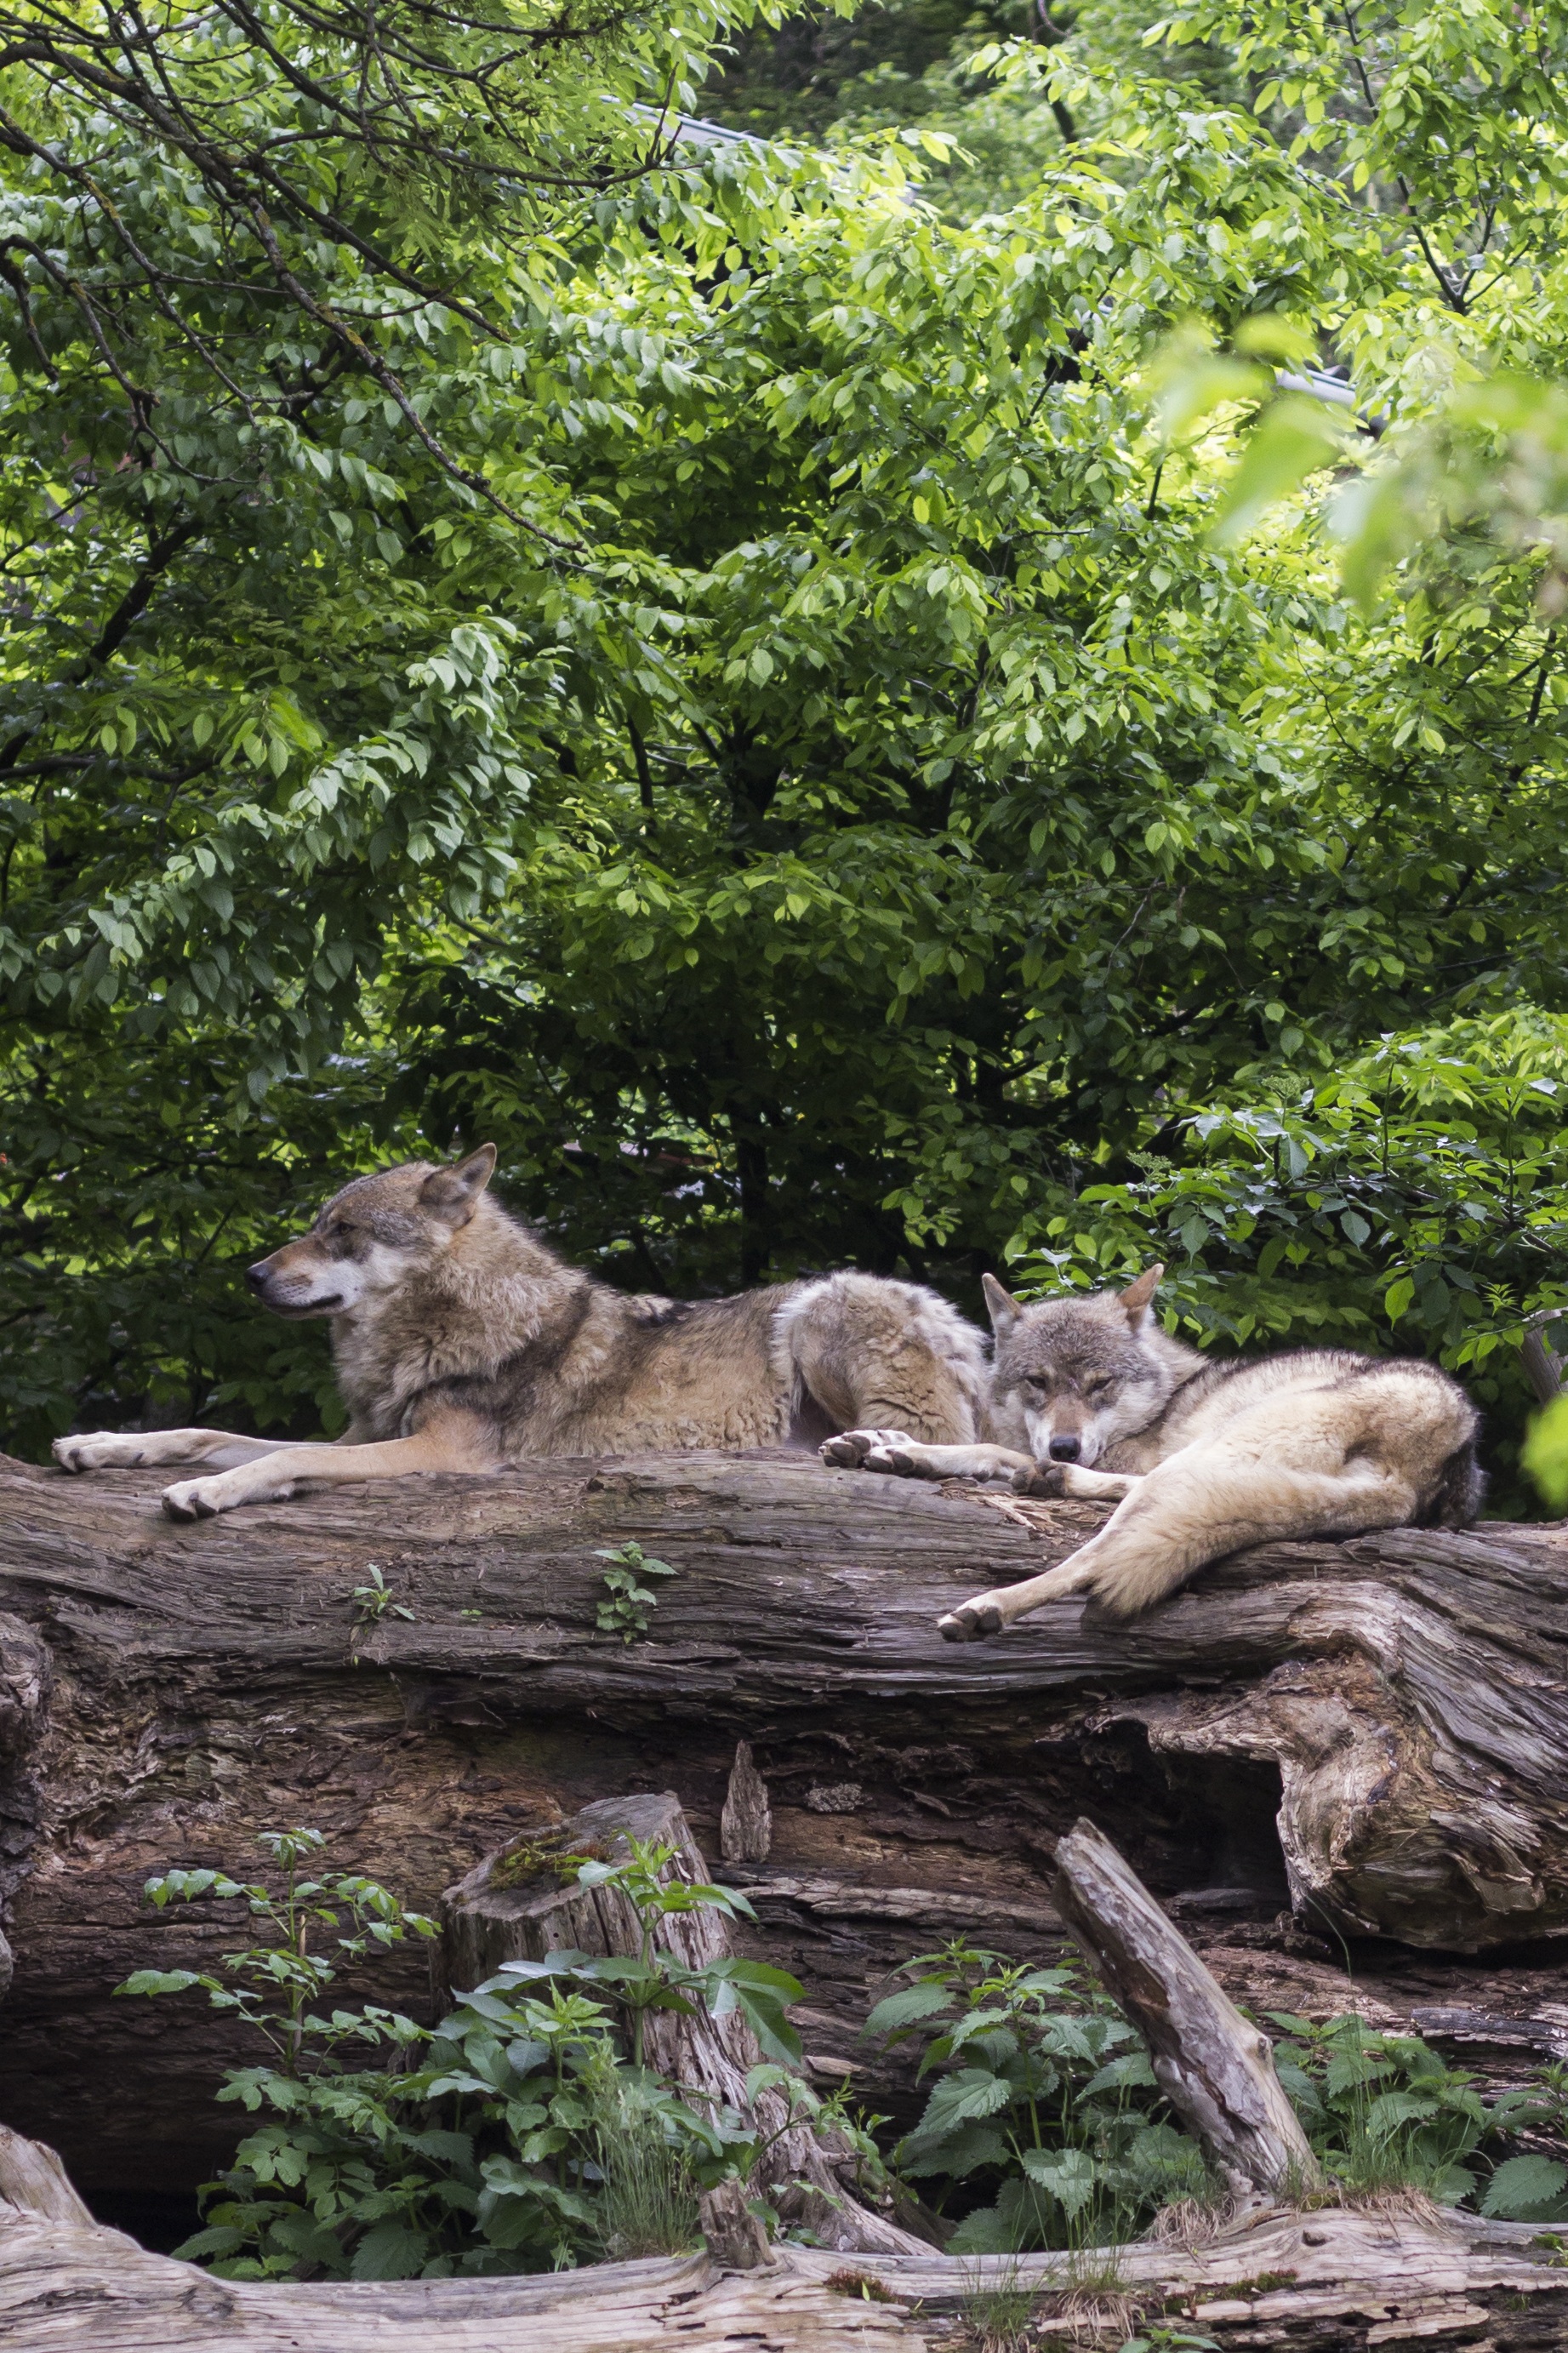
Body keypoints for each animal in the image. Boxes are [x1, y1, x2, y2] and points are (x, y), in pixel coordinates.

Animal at [54, 1143, 1001, 1524]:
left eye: (341, 1232)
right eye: (314, 1226)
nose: (251, 1275)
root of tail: (962, 1323)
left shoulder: (436, 1448)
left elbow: (274, 1459)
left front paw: (204, 1492)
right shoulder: (359, 1432)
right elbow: (205, 1430)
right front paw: (98, 1444)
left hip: (814, 1308)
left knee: (938, 1442)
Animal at [823, 1271, 1485, 1637]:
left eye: (1099, 1384)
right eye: (1037, 1382)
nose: (1064, 1442)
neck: (1162, 1399)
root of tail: (1440, 1443)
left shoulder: (1129, 1455)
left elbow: (987, 1443)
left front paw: (903, 1449)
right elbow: (990, 1448)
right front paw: (886, 1446)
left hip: (1186, 1468)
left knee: (1093, 1557)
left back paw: (988, 1605)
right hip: (1195, 1471)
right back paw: (1050, 1480)